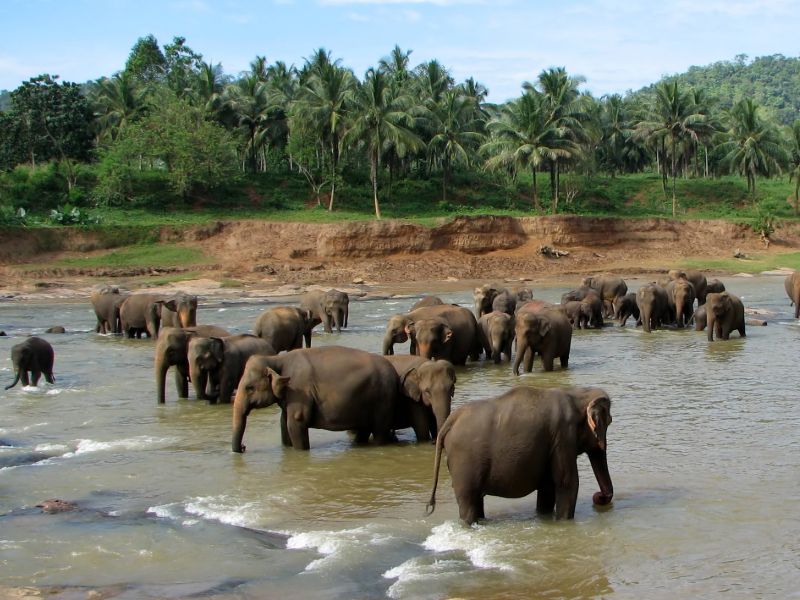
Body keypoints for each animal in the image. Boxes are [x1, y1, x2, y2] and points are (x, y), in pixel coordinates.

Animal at [234, 344, 404, 452]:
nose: (243, 447)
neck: (276, 359)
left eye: (249, 388)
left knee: (379, 431)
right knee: (364, 429)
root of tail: (393, 370)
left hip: (383, 399)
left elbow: (296, 422)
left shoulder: (299, 389)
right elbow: (284, 423)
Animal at [428, 386, 616, 524]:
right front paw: (563, 522)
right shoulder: (563, 436)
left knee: (476, 501)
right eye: (609, 421)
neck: (577, 393)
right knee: (468, 502)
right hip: (464, 463)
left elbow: (548, 487)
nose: (598, 497)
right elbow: (567, 483)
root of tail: (450, 421)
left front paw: (545, 518)